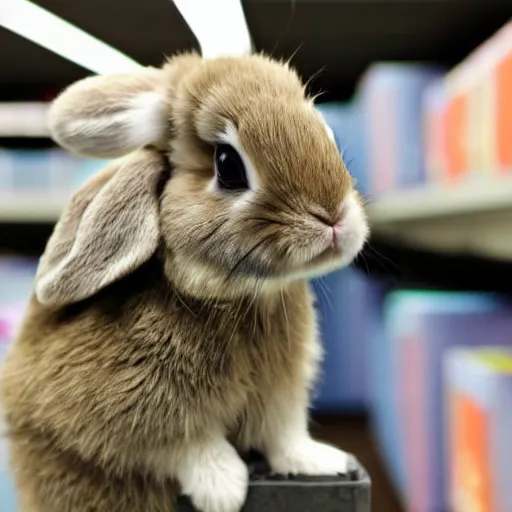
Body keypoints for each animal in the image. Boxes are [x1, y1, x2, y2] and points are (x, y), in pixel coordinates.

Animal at [0, 53, 368, 512]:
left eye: (325, 130)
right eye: (227, 165)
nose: (334, 218)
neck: (236, 294)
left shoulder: (282, 397)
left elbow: (284, 437)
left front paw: (321, 461)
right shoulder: (132, 412)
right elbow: (184, 445)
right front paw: (223, 487)